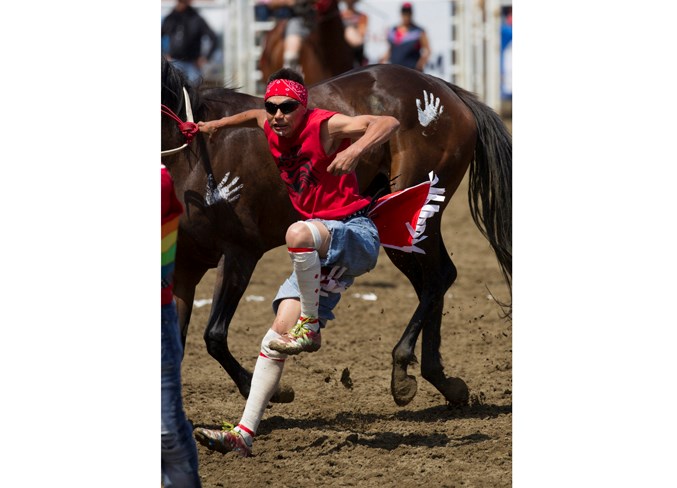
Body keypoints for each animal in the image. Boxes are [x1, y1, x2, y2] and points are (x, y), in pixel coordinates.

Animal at [162, 56, 512, 408]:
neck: (196, 157)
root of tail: (447, 91)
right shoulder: (184, 270)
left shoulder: (240, 252)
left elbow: (214, 335)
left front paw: (269, 389)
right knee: (433, 281)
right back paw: (441, 379)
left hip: (415, 217)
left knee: (438, 277)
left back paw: (404, 370)